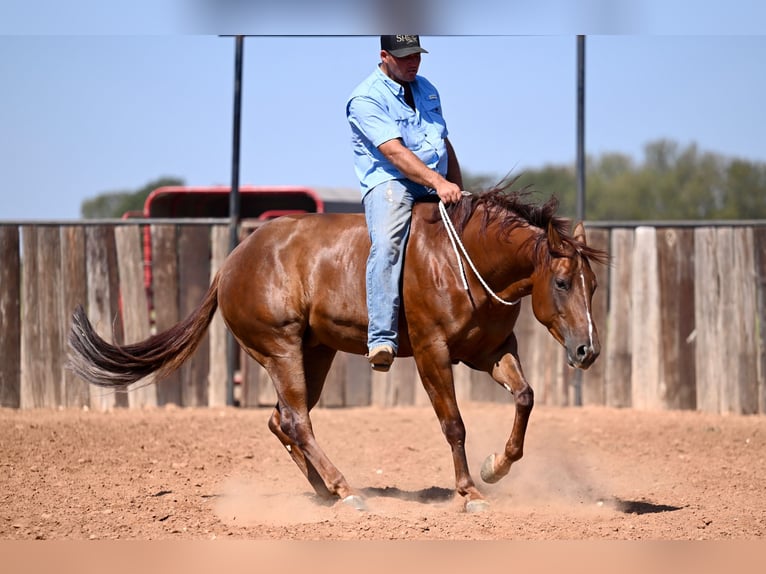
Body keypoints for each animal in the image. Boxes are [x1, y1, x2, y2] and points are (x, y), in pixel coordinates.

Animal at [72, 183, 612, 512]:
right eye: (562, 282)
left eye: (593, 285)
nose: (587, 351)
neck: (462, 260)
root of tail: (231, 261)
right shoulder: (433, 353)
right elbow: (454, 424)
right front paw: (468, 492)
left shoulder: (492, 350)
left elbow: (525, 397)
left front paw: (495, 467)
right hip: (281, 349)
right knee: (297, 421)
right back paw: (345, 489)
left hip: (315, 353)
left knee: (282, 420)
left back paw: (323, 489)